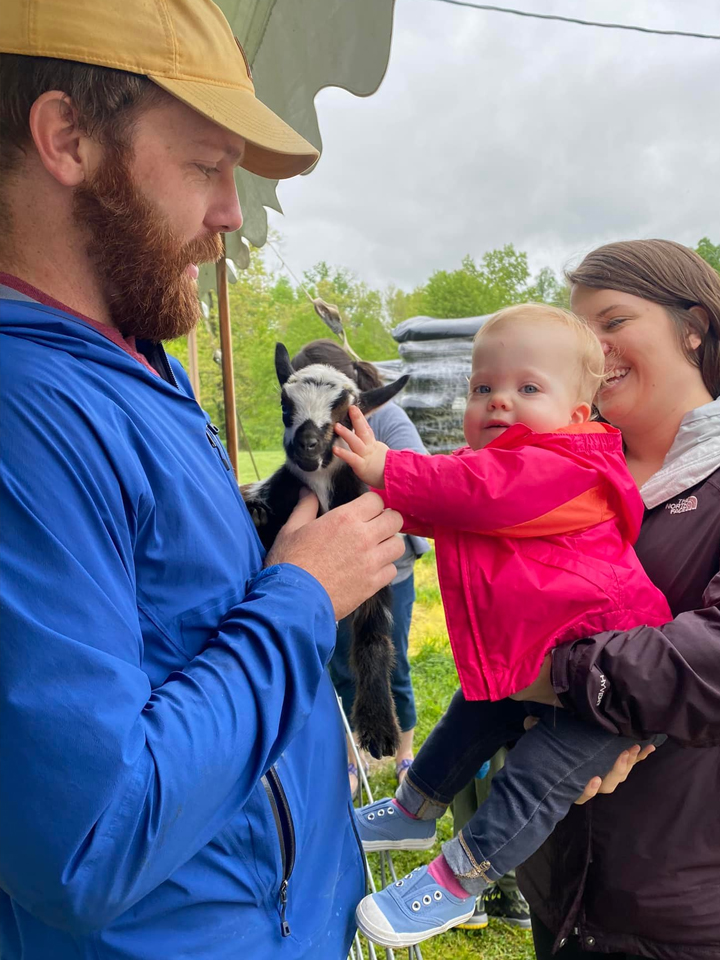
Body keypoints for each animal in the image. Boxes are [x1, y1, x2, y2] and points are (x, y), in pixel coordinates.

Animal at [243, 344, 408, 756]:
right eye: (285, 405)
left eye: (347, 414)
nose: (307, 446)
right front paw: (257, 514)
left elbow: (373, 639)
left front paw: (379, 726)